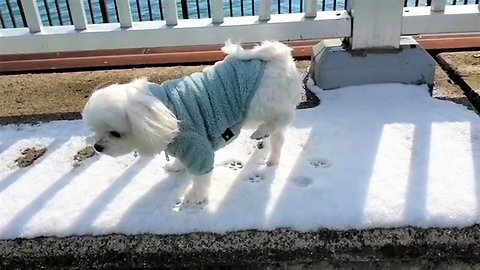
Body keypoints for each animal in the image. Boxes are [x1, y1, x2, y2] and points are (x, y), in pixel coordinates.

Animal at [80, 40, 302, 209]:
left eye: (116, 134)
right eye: (95, 131)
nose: (97, 147)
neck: (165, 114)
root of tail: (279, 55)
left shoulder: (197, 146)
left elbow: (201, 178)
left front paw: (194, 197)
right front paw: (176, 166)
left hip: (263, 104)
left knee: (283, 117)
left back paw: (262, 133)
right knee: (279, 137)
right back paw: (271, 155)